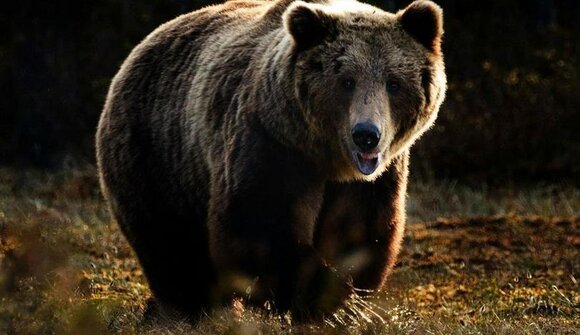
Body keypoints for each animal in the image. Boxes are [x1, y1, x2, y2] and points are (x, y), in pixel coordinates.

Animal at [97, 0, 446, 322]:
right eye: (346, 81)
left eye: (393, 83)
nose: (366, 135)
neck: (327, 158)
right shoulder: (271, 144)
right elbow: (259, 226)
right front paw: (323, 299)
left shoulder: (373, 179)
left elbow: (360, 231)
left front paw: (346, 298)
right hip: (157, 154)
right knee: (170, 243)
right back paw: (192, 308)